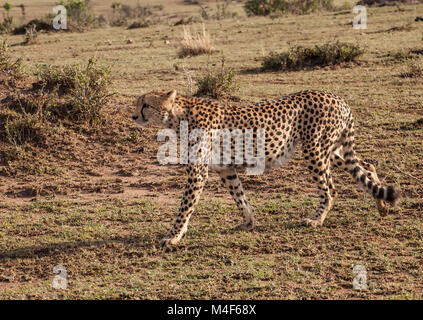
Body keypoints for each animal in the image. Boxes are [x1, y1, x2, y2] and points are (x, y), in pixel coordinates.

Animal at [132, 89, 400, 250]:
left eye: (145, 104)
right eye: (138, 103)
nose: (134, 116)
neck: (178, 116)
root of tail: (336, 96)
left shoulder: (198, 172)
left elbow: (185, 207)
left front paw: (173, 236)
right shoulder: (225, 169)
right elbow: (240, 197)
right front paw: (249, 223)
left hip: (314, 150)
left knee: (331, 189)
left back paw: (316, 220)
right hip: (329, 151)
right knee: (366, 166)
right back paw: (382, 204)